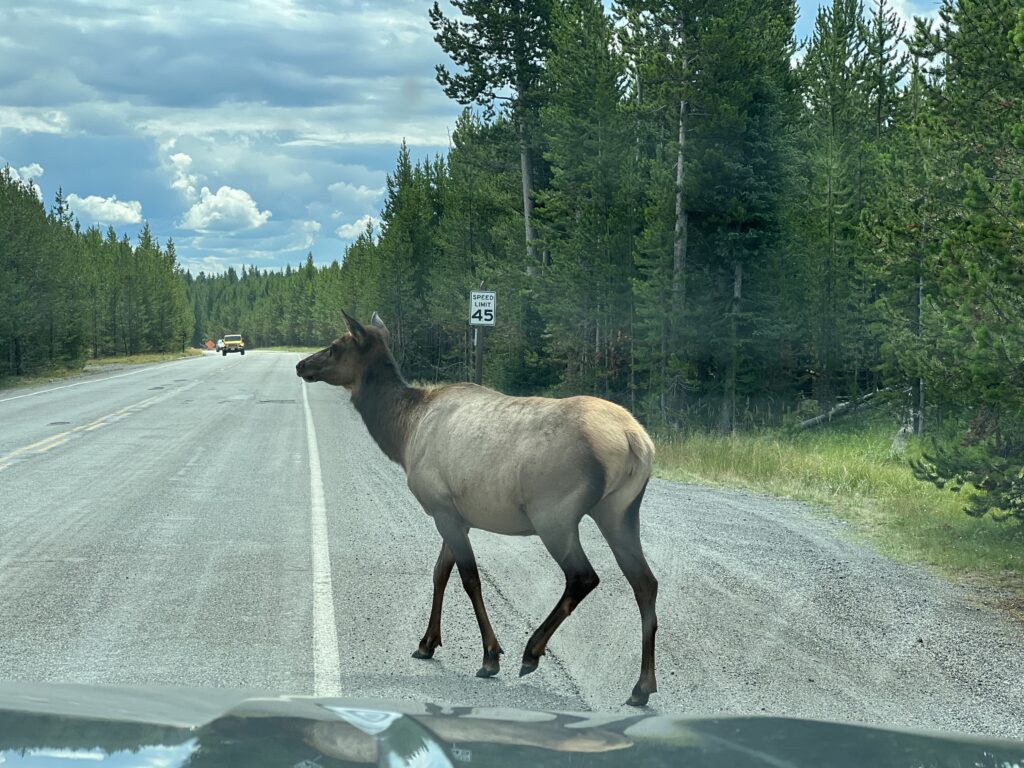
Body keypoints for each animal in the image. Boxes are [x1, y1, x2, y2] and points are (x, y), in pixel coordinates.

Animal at [295, 311, 659, 706]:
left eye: (335, 345)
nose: (301, 365)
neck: (403, 434)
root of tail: (636, 440)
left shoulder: (442, 508)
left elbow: (469, 578)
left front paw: (490, 656)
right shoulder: (455, 514)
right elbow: (440, 573)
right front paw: (427, 643)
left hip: (554, 513)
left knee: (584, 576)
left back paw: (531, 652)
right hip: (621, 511)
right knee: (646, 583)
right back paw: (642, 687)